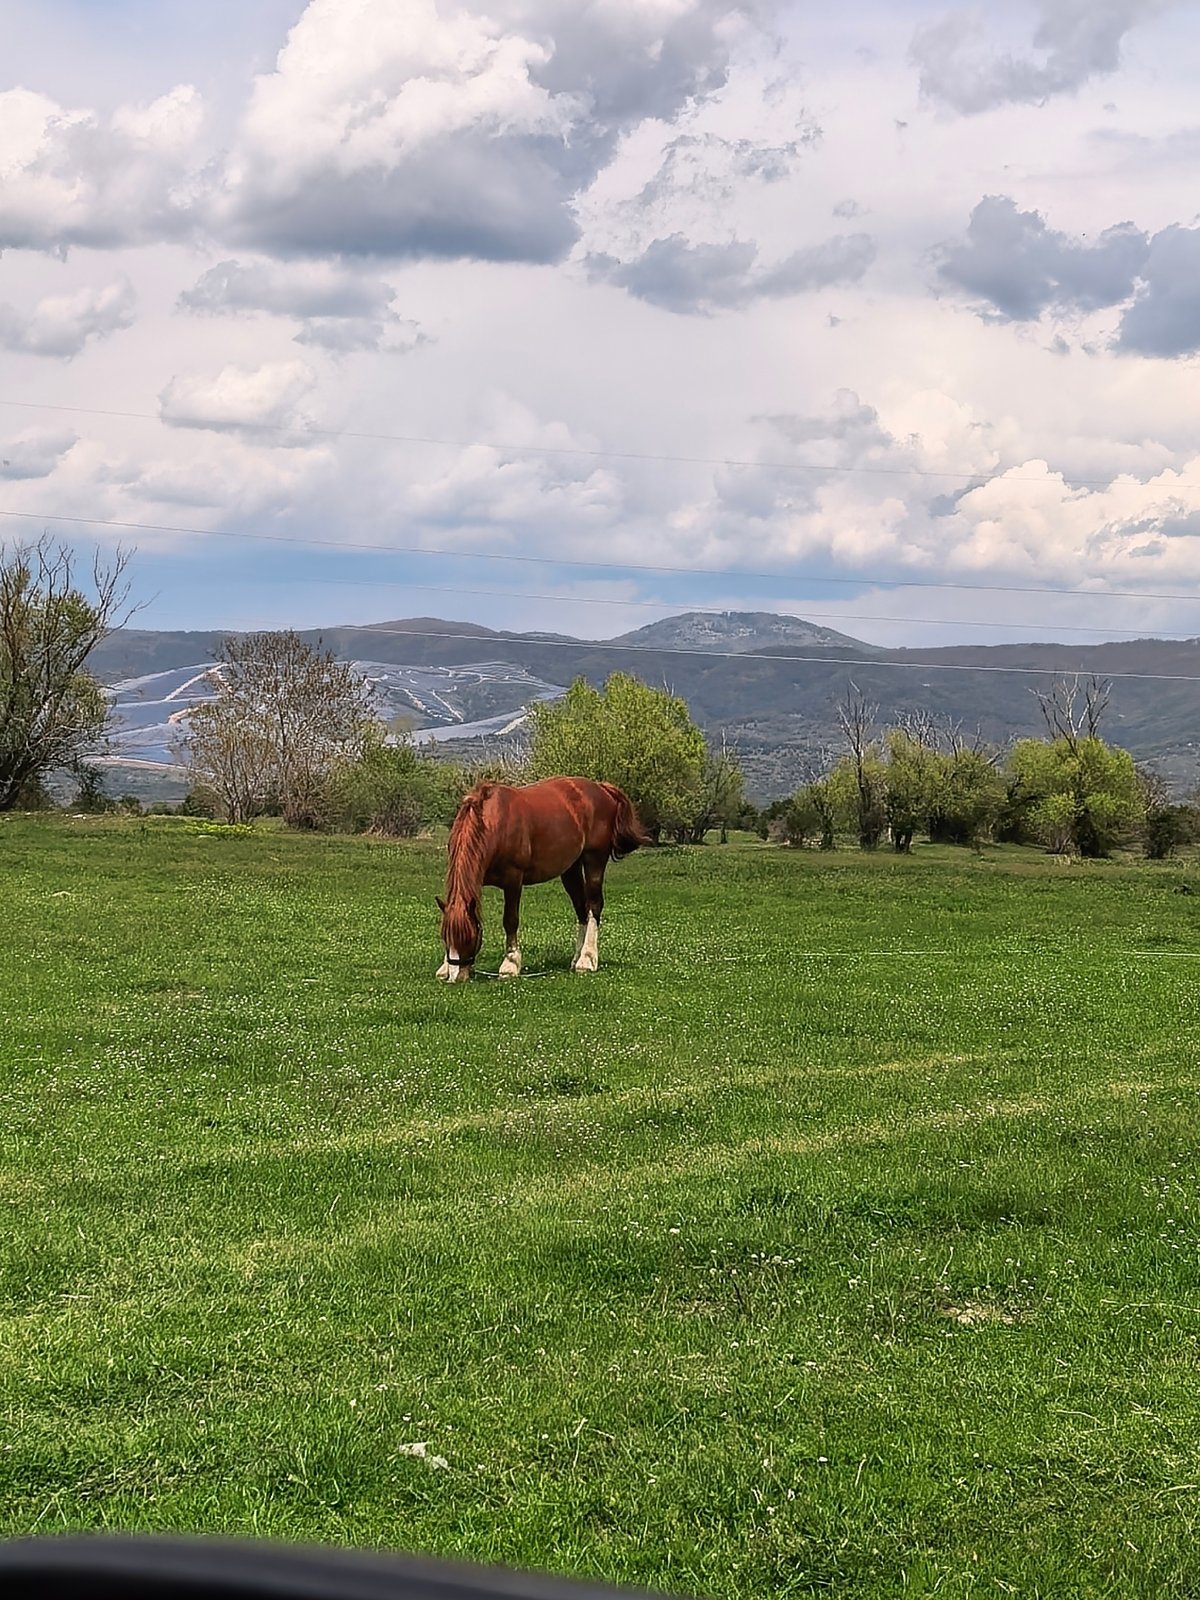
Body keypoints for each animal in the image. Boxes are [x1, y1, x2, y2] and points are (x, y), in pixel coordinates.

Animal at [436, 777, 650, 981]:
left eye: (469, 937)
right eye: (445, 936)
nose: (456, 977)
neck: (494, 823)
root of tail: (601, 787)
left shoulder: (513, 880)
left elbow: (510, 920)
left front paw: (510, 964)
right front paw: (444, 967)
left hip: (594, 859)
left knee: (594, 906)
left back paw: (587, 959)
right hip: (571, 868)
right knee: (581, 908)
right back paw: (576, 959)